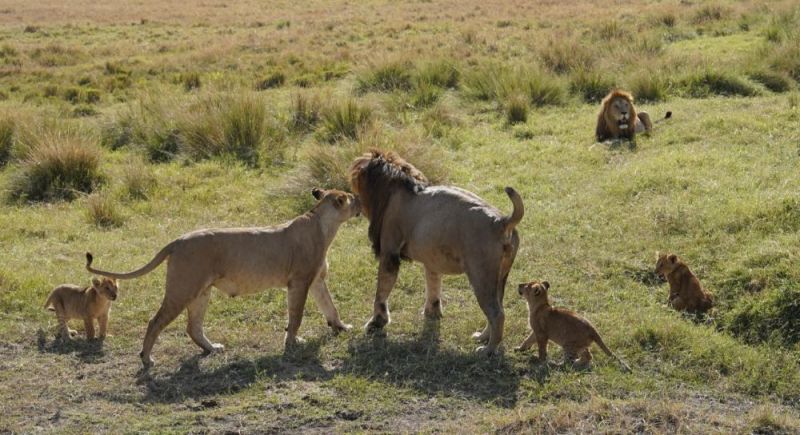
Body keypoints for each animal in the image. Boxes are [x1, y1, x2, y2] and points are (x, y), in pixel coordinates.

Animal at [86, 189, 358, 370]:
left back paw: (211, 349)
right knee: (155, 322)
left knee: (193, 327)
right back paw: (147, 358)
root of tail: (177, 241)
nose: (359, 200)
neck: (323, 226)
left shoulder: (317, 280)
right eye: (351, 196)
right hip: (182, 289)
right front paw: (293, 342)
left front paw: (341, 327)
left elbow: (330, 306)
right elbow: (296, 315)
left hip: (201, 291)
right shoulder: (299, 282)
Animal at [350, 150, 524, 354]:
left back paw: (488, 350)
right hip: (500, 277)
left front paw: (376, 323)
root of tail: (501, 221)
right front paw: (432, 313)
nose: (352, 196)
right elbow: (433, 285)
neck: (398, 186)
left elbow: (381, 293)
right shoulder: (432, 259)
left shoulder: (389, 253)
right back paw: (482, 337)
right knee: (498, 308)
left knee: (497, 314)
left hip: (481, 276)